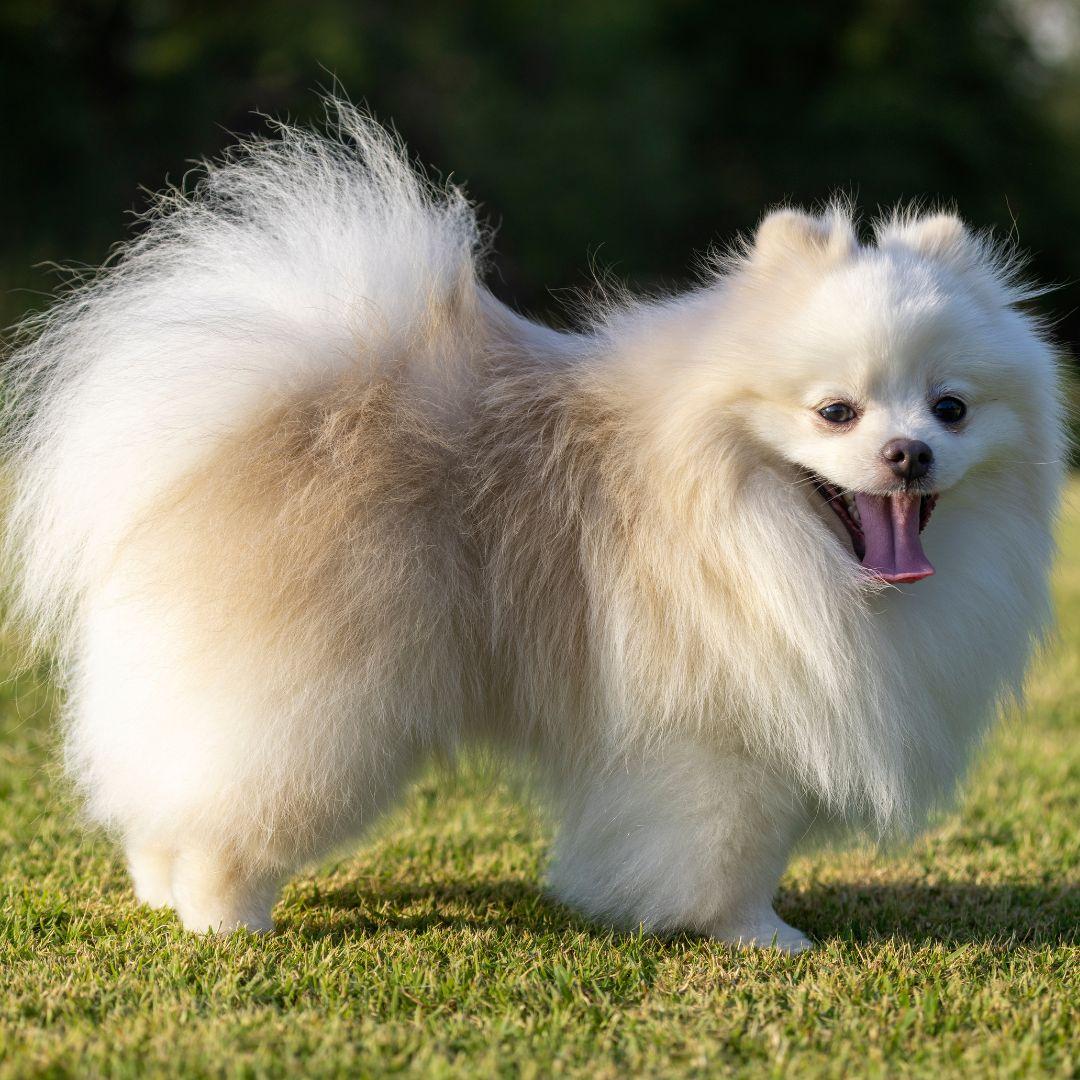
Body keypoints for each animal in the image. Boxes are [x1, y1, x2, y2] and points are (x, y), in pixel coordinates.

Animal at [0, 105, 1062, 950]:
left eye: (952, 408)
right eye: (836, 412)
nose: (908, 453)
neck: (758, 526)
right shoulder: (721, 731)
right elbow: (735, 850)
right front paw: (758, 935)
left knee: (161, 786)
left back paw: (162, 891)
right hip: (318, 703)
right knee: (230, 802)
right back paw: (225, 919)